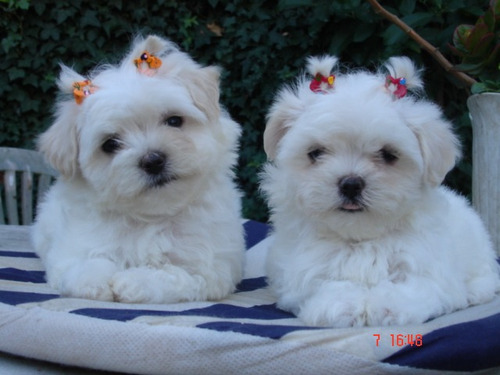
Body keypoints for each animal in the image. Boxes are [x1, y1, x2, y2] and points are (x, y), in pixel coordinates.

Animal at [32, 35, 245, 304]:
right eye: (110, 144)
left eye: (174, 121)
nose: (153, 160)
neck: (151, 217)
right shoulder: (73, 249)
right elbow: (86, 262)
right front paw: (93, 281)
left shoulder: (207, 268)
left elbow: (171, 275)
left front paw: (133, 282)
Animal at [262, 54, 500, 328]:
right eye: (316, 153)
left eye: (388, 155)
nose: (350, 184)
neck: (362, 239)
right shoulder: (303, 269)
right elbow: (329, 284)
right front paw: (341, 306)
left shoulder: (425, 266)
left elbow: (413, 287)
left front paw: (388, 307)